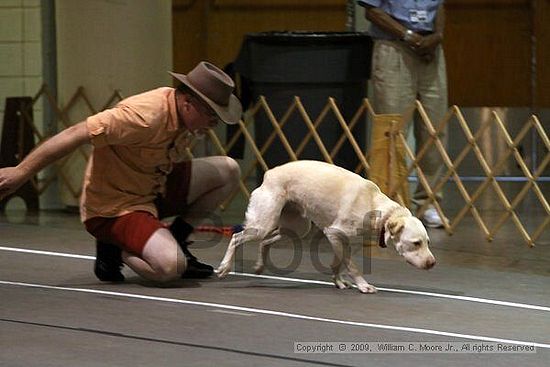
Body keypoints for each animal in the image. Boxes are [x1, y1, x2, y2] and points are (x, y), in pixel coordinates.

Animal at [218, 161, 438, 294]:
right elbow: (350, 265)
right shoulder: (334, 233)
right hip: (263, 224)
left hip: (297, 227)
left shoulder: (346, 241)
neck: (375, 206)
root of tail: (269, 173)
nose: (432, 263)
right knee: (237, 237)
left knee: (265, 241)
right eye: (416, 243)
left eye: (428, 242)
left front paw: (338, 281)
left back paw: (259, 266)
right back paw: (225, 267)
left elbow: (339, 263)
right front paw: (363, 285)